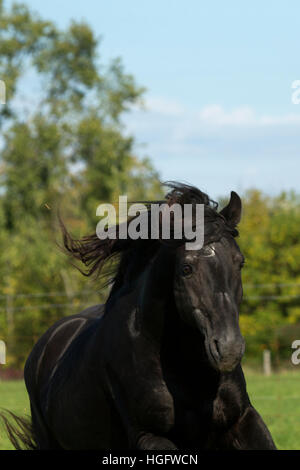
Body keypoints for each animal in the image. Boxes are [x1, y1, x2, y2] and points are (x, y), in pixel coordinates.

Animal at [2, 183, 276, 448]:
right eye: (186, 268)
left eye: (240, 262)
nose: (229, 348)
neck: (185, 368)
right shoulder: (149, 435)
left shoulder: (244, 418)